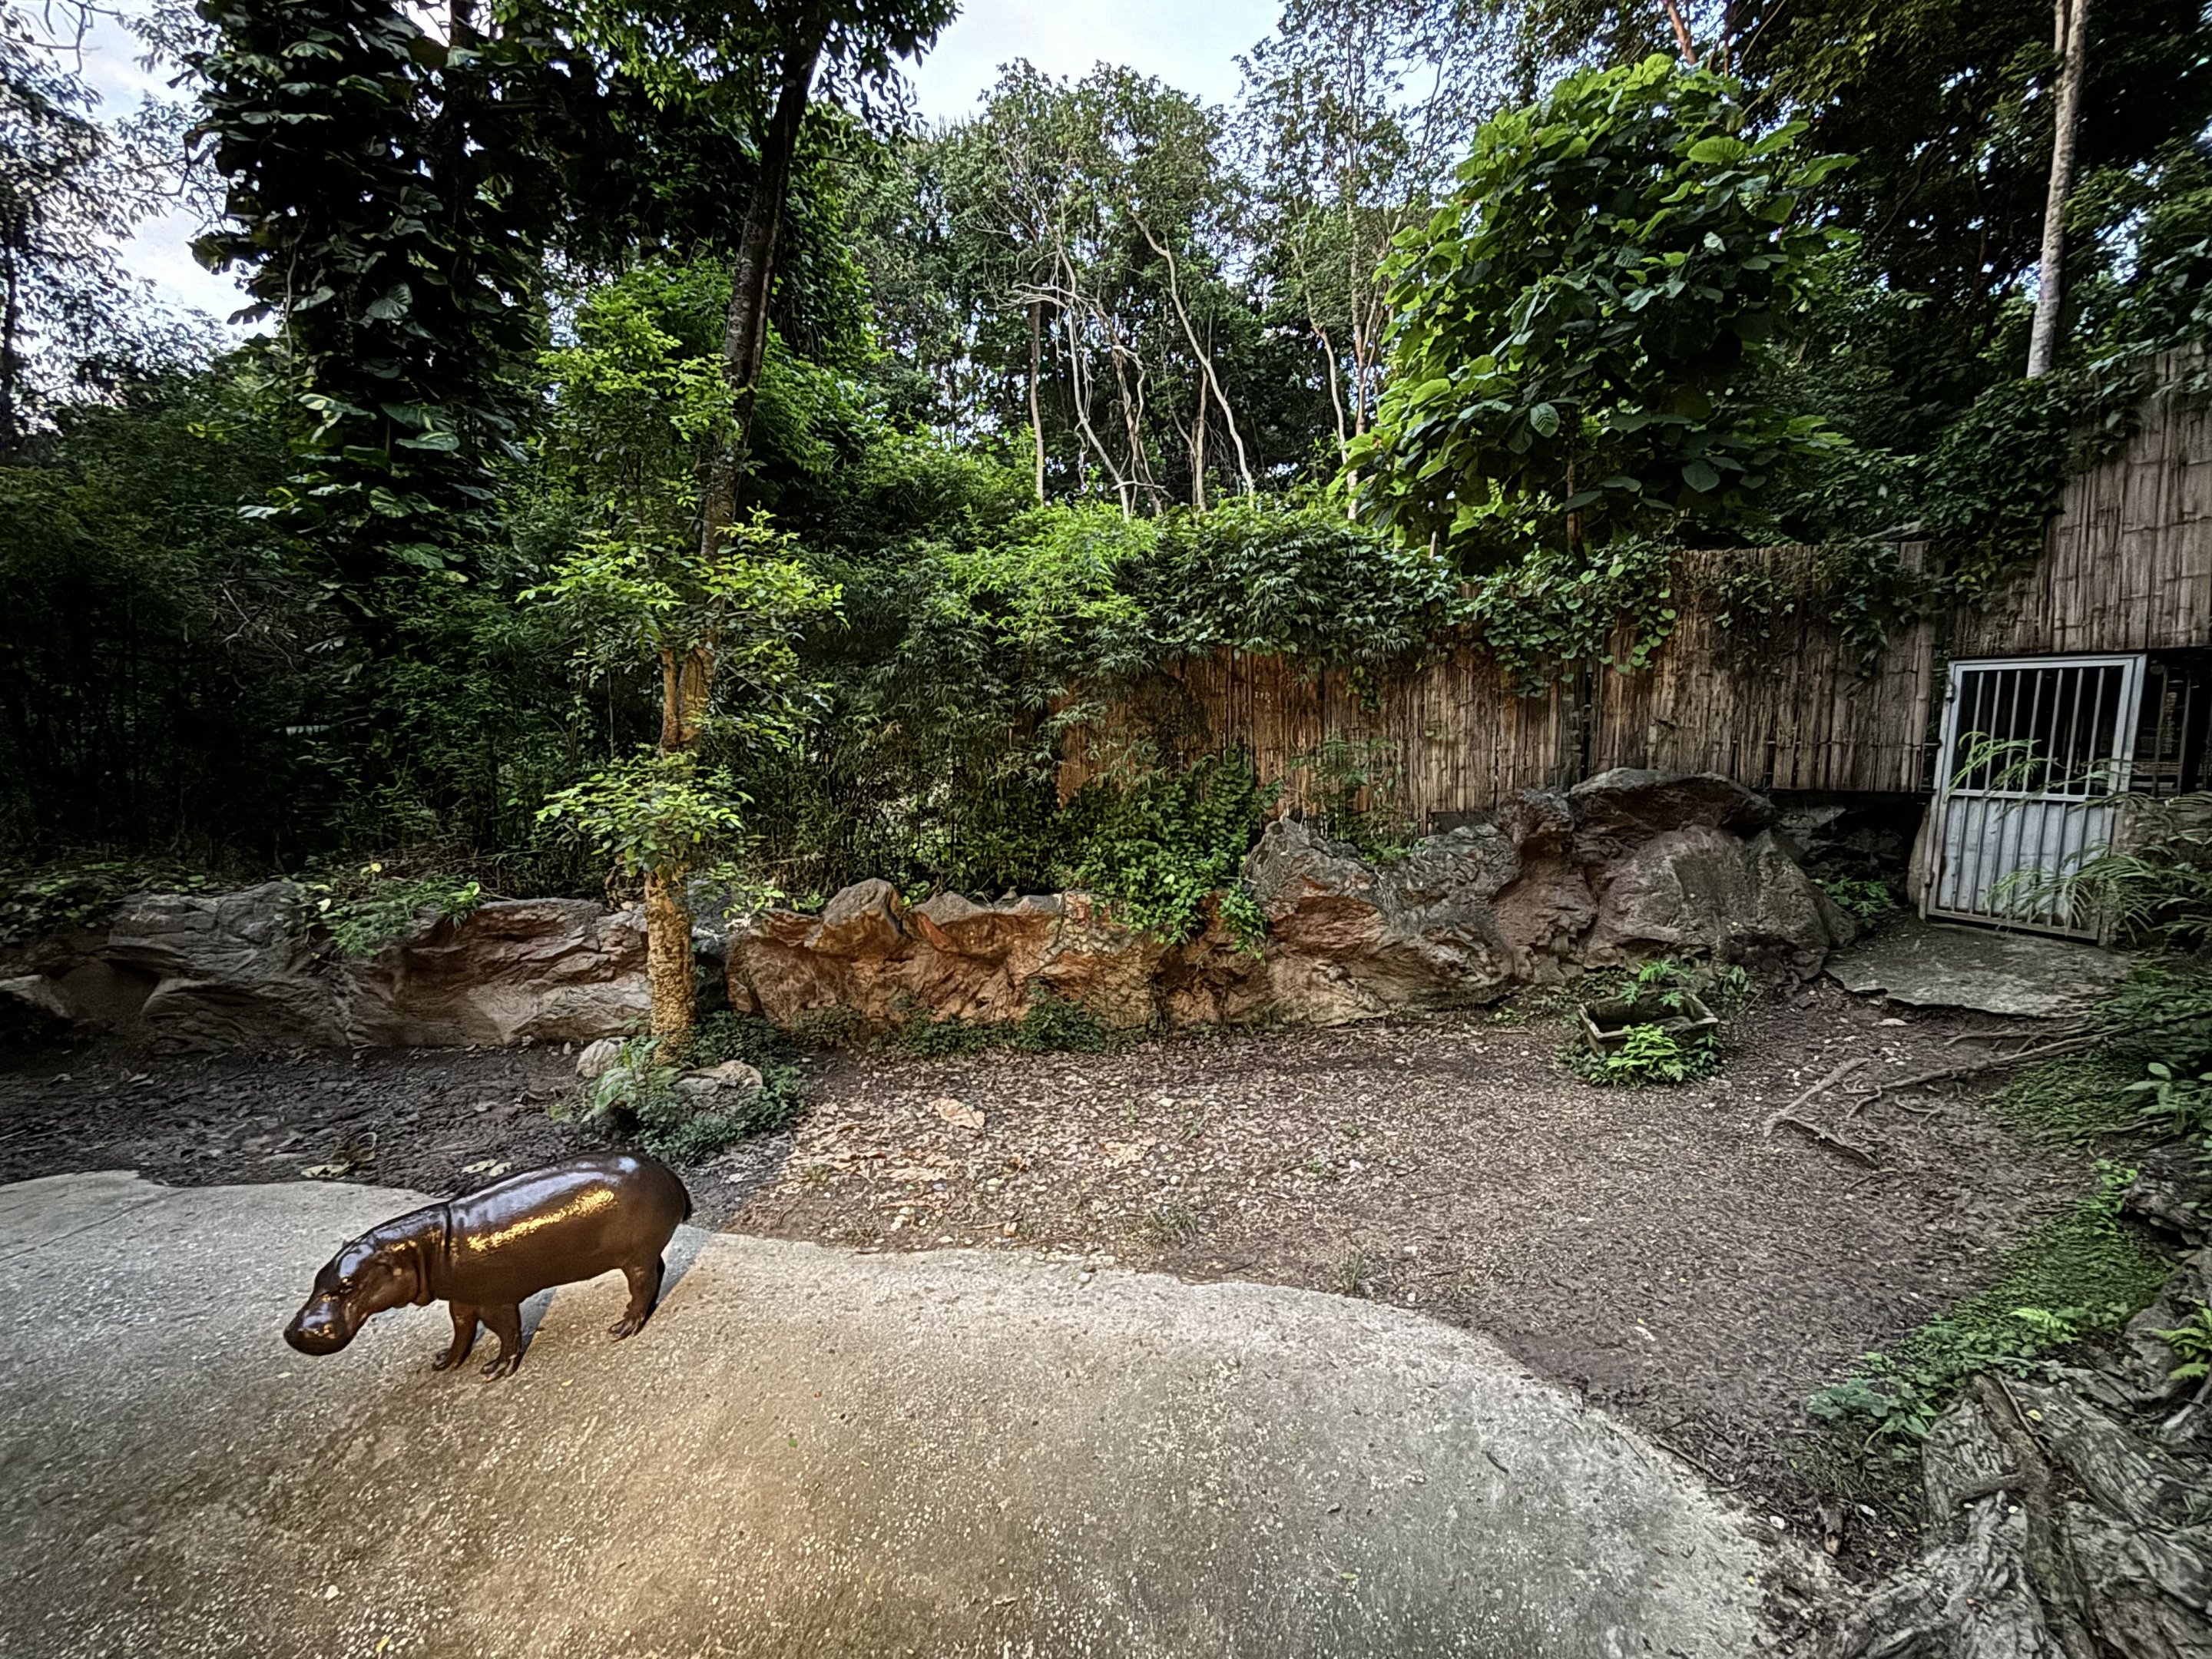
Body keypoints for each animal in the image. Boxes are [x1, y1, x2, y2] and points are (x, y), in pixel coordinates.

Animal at [284, 1153, 692, 1380]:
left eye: (348, 1285)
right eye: (317, 1278)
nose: (293, 1332)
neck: (423, 1246)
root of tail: (671, 1176)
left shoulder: (497, 1299)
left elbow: (506, 1332)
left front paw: (495, 1371)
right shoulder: (462, 1297)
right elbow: (461, 1328)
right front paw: (445, 1361)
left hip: (635, 1257)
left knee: (641, 1285)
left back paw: (622, 1328)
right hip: (641, 1254)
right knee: (656, 1274)